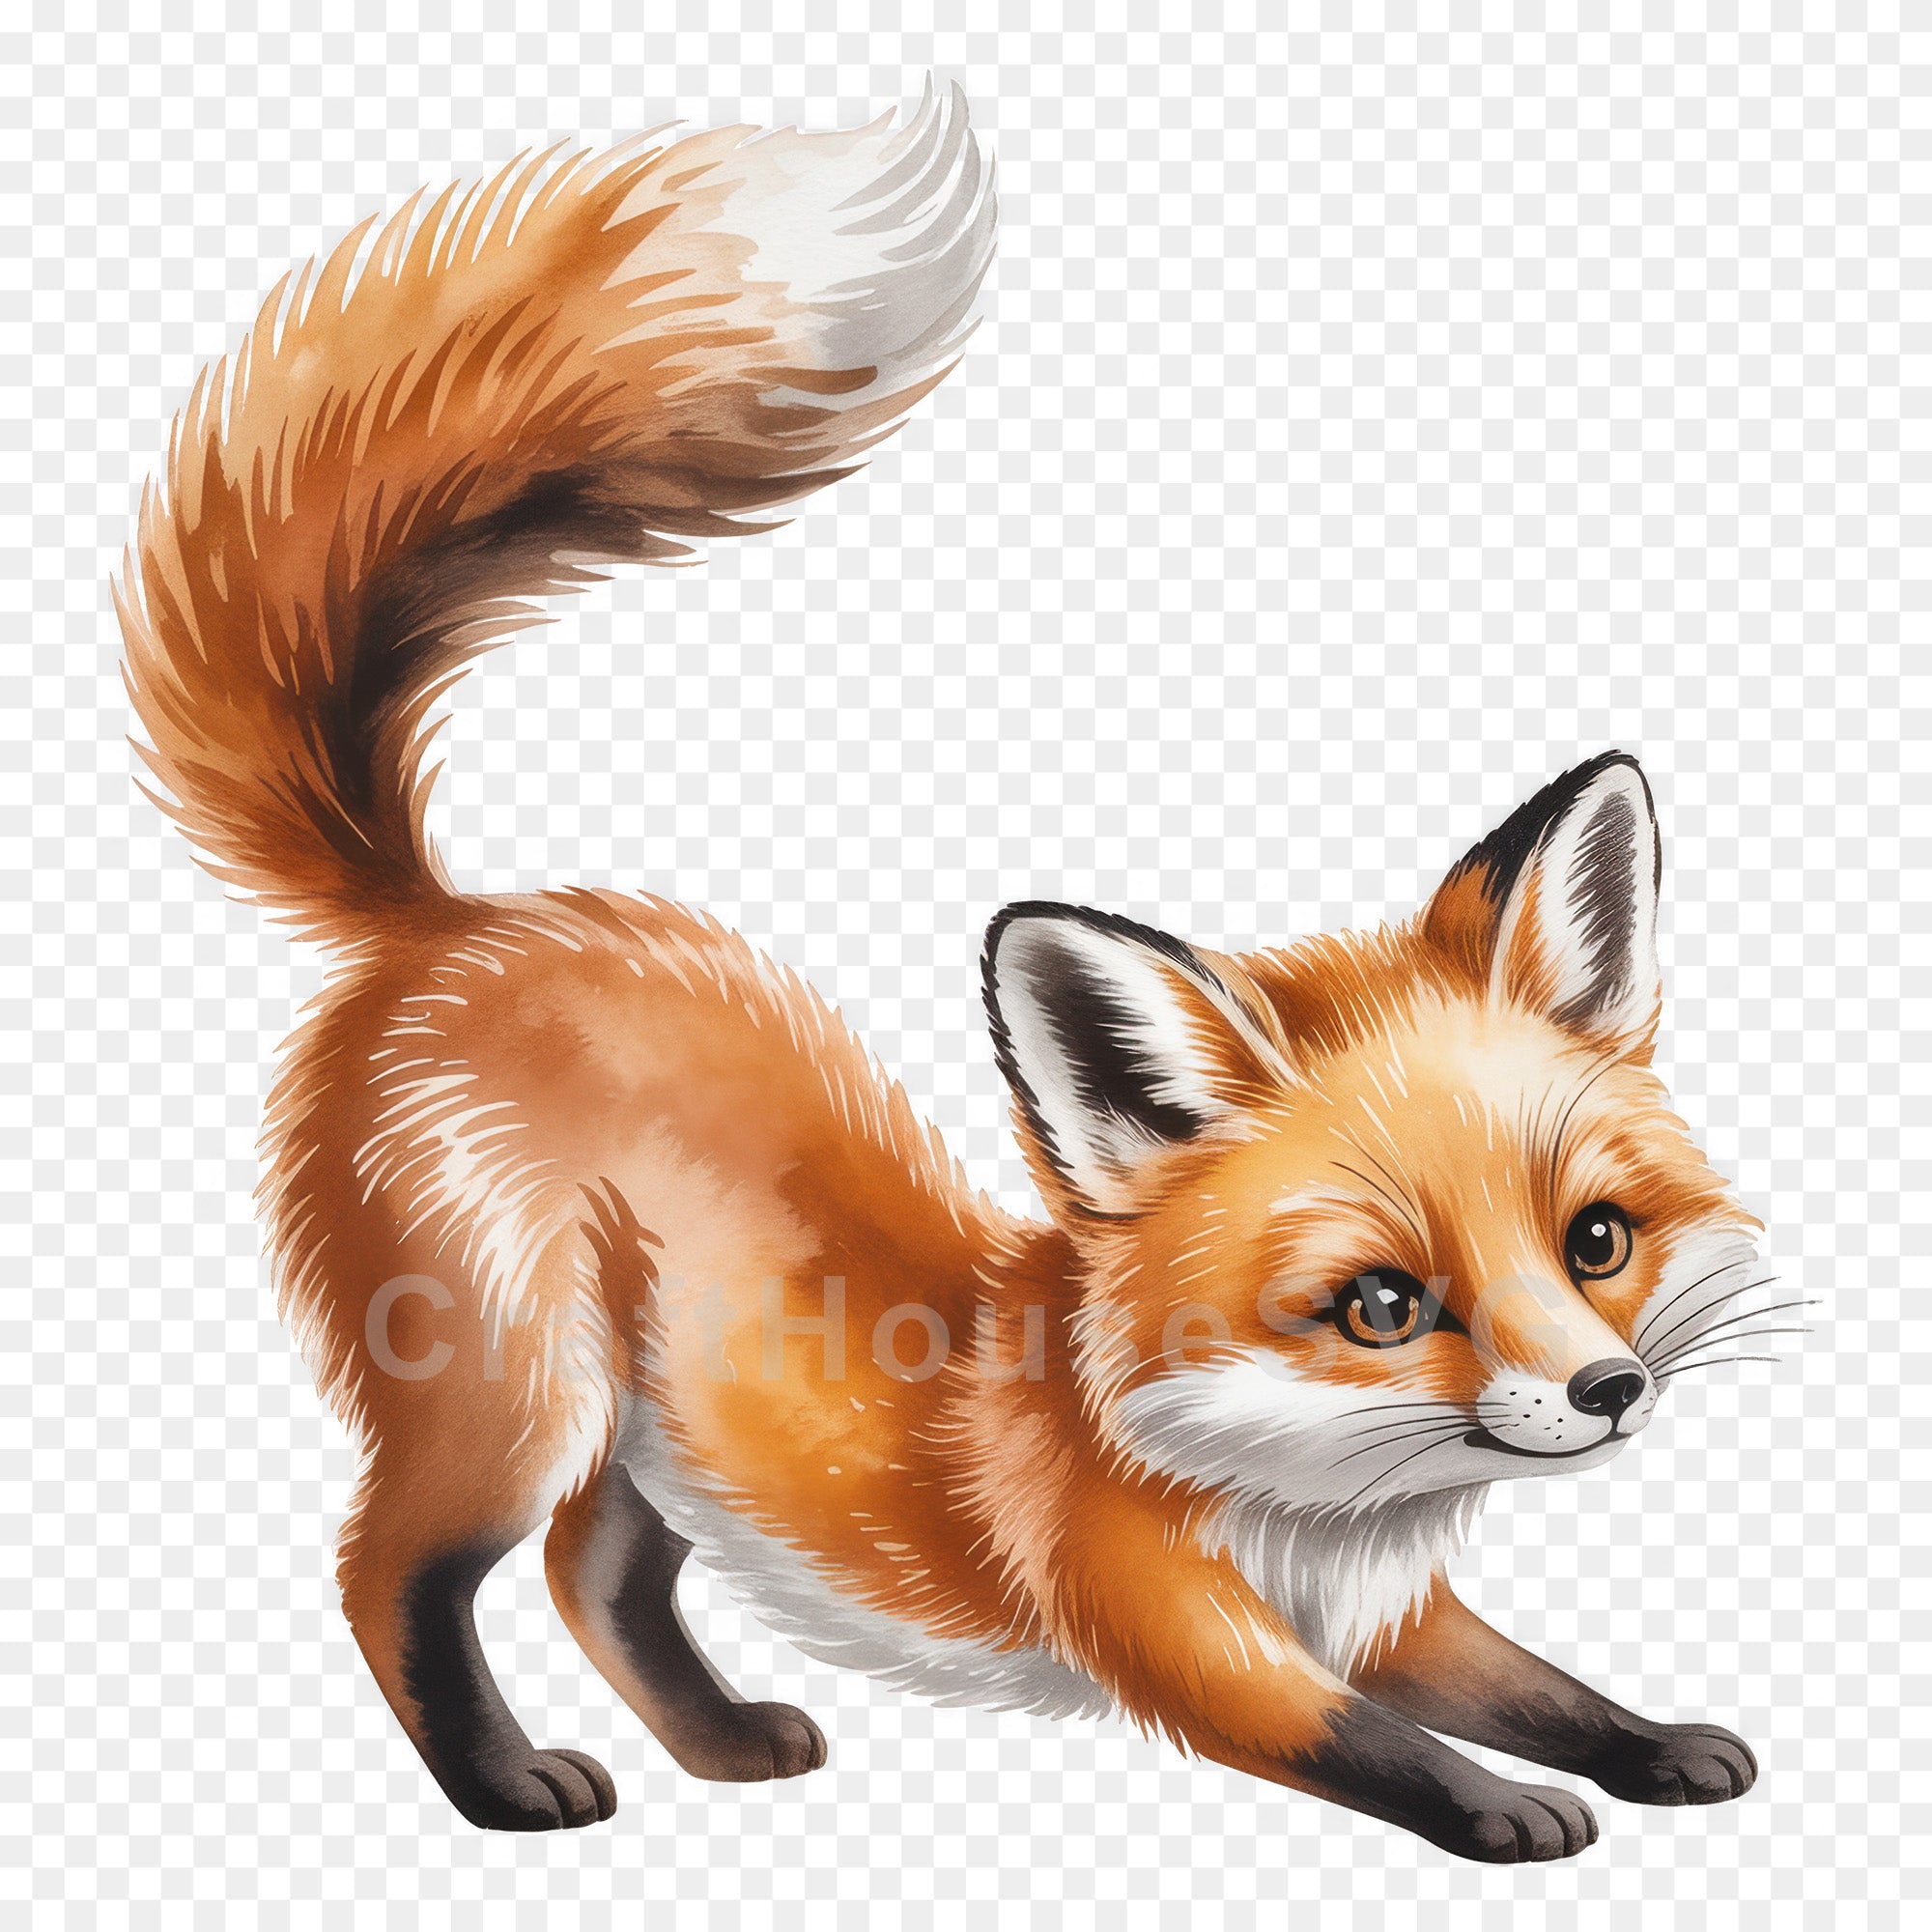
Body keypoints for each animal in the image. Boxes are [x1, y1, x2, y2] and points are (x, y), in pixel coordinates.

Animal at [115, 85, 1776, 1862]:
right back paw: (504, 1786)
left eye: (1595, 1239)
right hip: (514, 1399)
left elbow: (1542, 1685)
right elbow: (1380, 1745)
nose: (1609, 1390)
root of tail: (454, 916)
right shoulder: (1174, 1634)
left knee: (592, 1574)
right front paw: (1514, 1812)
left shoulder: (1390, 1613)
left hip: (660, 1433)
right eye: (1383, 1304)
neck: (1299, 1506)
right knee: (385, 1574)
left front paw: (1658, 1743)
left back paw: (723, 1741)